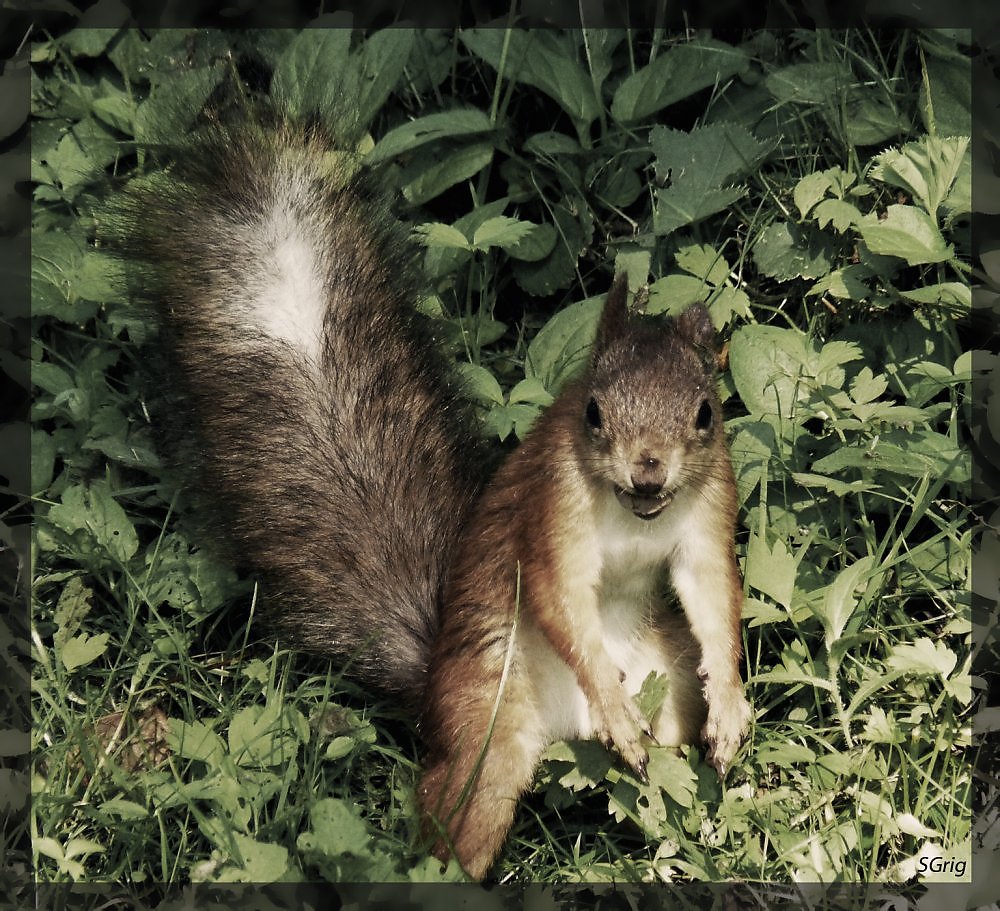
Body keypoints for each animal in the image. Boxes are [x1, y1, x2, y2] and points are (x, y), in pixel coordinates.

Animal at [109, 110, 752, 880]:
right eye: (593, 411)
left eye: (705, 414)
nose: (648, 472)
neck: (636, 514)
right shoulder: (551, 507)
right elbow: (559, 594)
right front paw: (616, 702)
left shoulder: (711, 504)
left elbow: (713, 594)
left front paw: (732, 705)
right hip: (484, 731)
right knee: (459, 824)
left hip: (669, 681)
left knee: (669, 746)